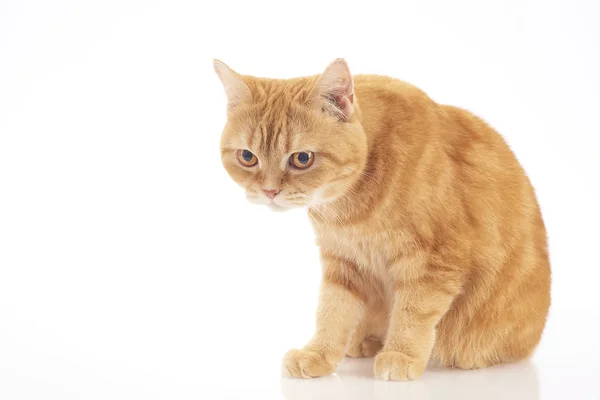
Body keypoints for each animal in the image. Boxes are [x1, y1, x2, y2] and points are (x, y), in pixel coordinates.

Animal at [213, 57, 552, 380]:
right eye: (248, 157)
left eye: (302, 159)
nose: (270, 191)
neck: (352, 206)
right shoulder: (343, 263)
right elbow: (332, 311)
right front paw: (319, 354)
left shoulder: (435, 262)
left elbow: (413, 311)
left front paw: (402, 354)